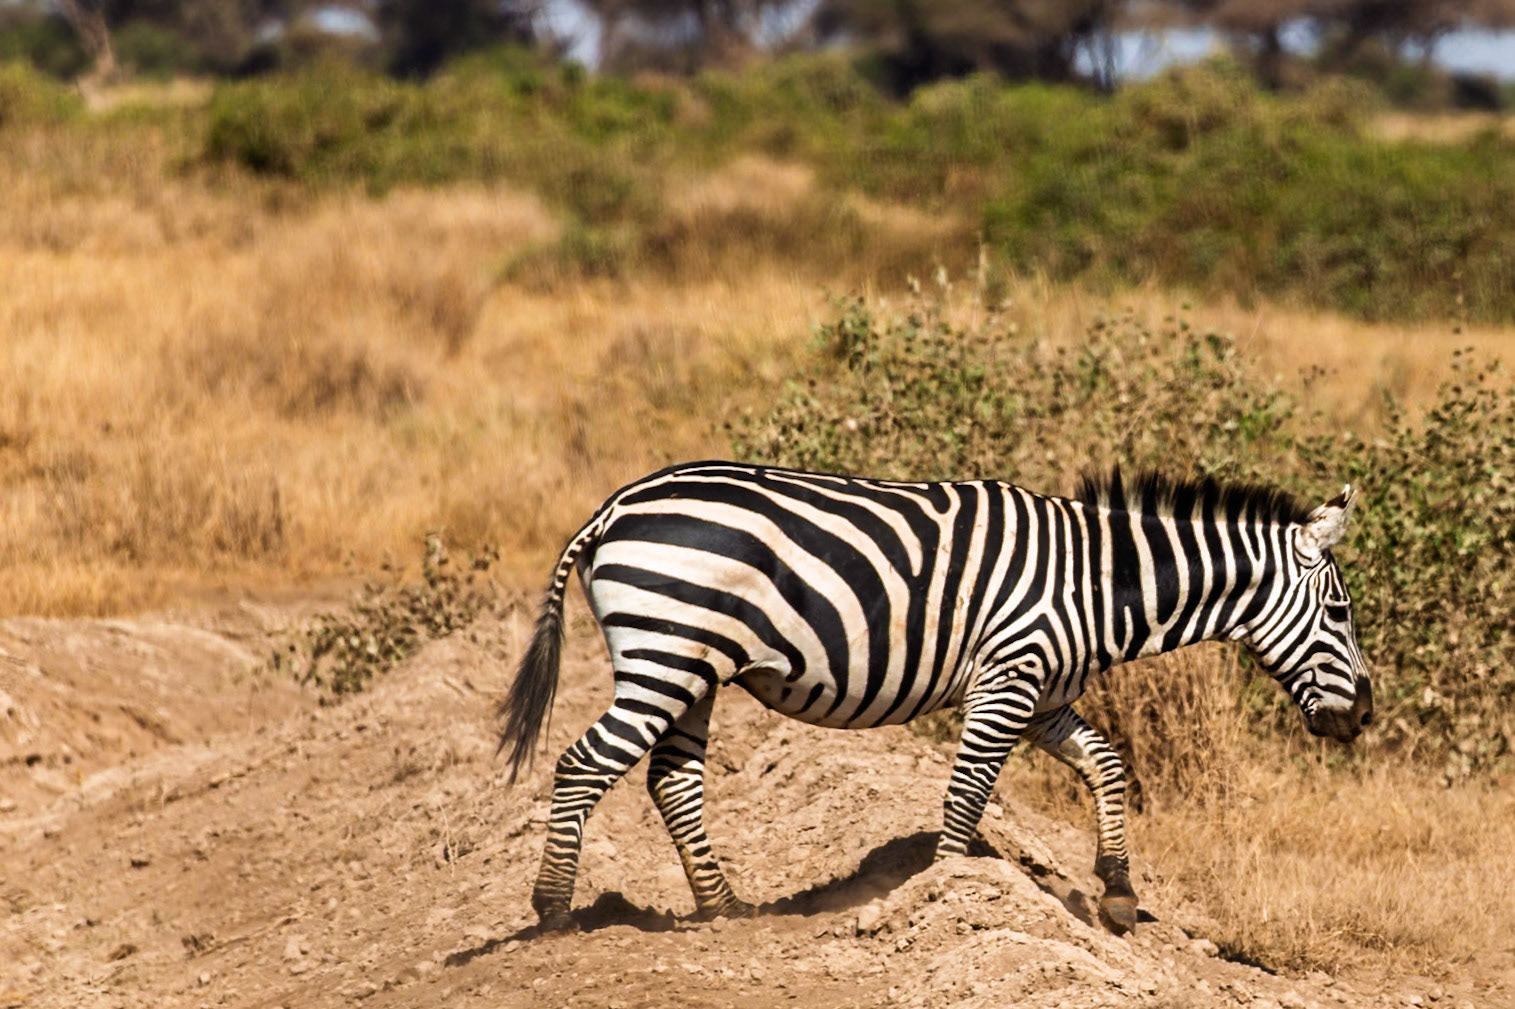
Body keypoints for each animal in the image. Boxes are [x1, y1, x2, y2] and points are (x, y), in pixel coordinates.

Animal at [498, 461, 1373, 934]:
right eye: (1339, 611)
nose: (1364, 714)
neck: (1096, 585)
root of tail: (615, 506)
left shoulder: (1043, 694)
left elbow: (1106, 763)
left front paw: (1118, 892)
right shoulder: (1007, 679)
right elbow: (966, 793)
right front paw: (951, 901)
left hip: (694, 665)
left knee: (670, 778)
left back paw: (724, 906)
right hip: (667, 650)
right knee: (584, 762)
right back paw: (552, 909)